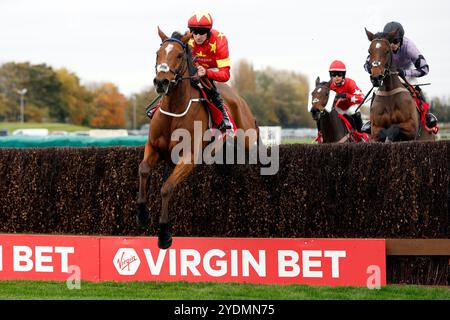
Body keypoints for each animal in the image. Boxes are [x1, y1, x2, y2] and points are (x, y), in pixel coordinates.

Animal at [135, 28, 258, 250]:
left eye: (179, 55)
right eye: (157, 54)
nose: (161, 82)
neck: (175, 109)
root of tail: (243, 104)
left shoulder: (189, 157)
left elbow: (166, 188)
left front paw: (164, 234)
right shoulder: (154, 147)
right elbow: (144, 170)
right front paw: (142, 214)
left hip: (247, 144)